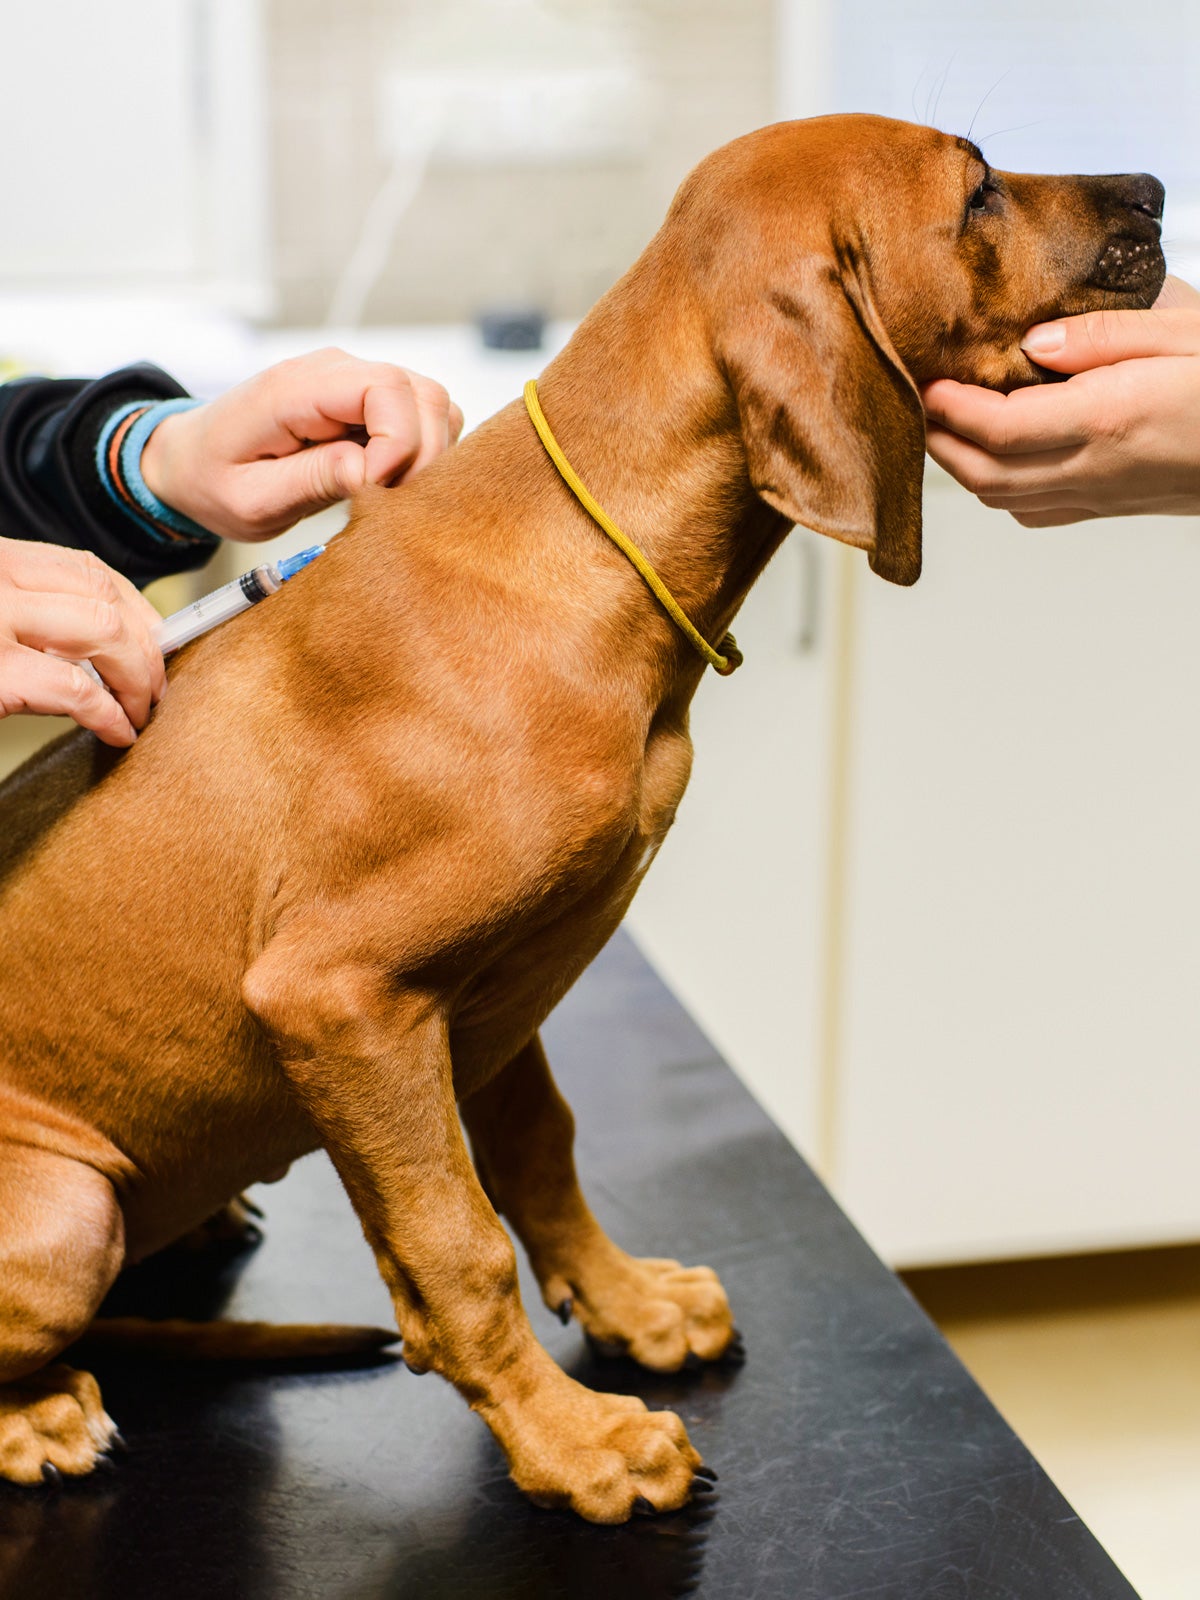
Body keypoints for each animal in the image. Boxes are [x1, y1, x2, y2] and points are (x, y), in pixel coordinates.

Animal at [0, 118, 1164, 1516]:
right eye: (979, 189)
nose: (1160, 191)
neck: (595, 562)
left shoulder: (492, 995)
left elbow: (541, 1152)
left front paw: (628, 1307)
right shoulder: (340, 1000)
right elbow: (455, 1248)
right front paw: (576, 1444)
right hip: (66, 1211)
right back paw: (37, 1415)